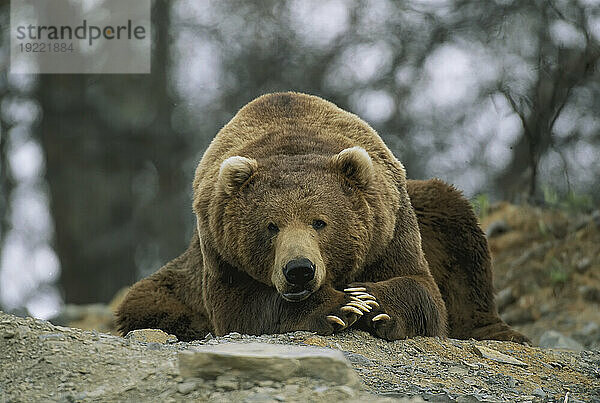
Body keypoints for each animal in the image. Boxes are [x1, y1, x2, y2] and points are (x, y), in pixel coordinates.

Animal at [116, 91, 528, 344]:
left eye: (320, 222)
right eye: (271, 226)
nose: (299, 270)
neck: (291, 139)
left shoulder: (389, 226)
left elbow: (422, 288)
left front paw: (372, 301)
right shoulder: (220, 248)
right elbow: (241, 308)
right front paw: (339, 306)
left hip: (431, 210)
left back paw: (499, 331)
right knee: (148, 302)